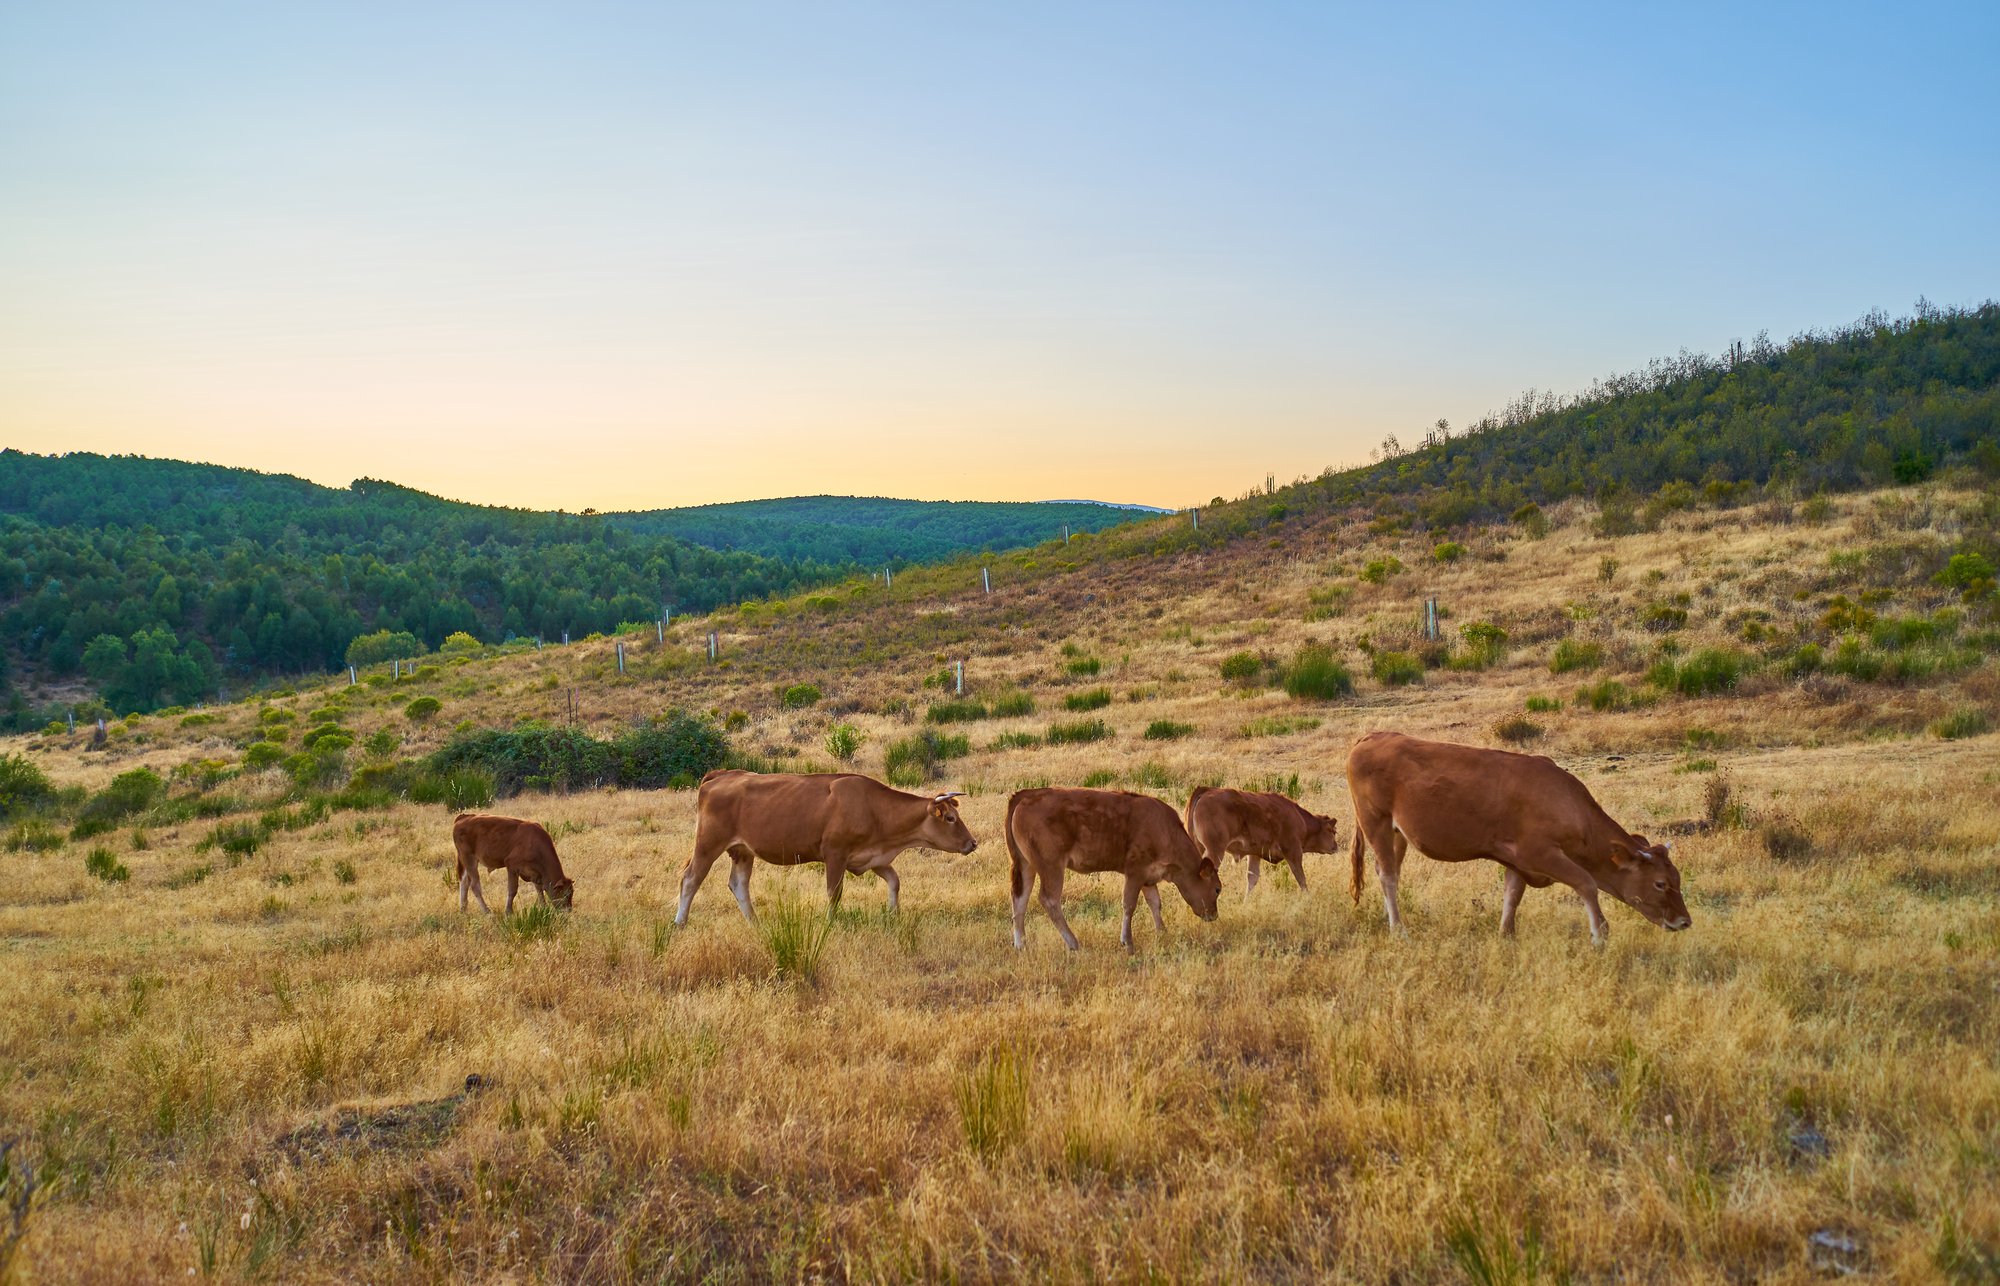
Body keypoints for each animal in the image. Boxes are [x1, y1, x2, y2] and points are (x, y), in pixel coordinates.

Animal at [675, 770, 977, 924]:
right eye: (950, 818)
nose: (972, 843)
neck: (873, 807)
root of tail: (720, 775)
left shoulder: (874, 858)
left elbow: (894, 881)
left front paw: (894, 914)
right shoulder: (835, 855)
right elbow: (834, 893)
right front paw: (830, 922)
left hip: (743, 851)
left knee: (739, 884)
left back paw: (754, 922)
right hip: (708, 845)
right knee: (690, 879)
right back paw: (680, 921)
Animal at [1005, 787, 1221, 951]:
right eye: (1217, 889)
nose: (1214, 915)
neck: (1165, 829)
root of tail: (1027, 794)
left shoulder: (1148, 876)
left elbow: (1155, 903)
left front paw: (1162, 931)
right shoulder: (1135, 871)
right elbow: (1129, 904)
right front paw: (1128, 942)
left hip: (1025, 864)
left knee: (1020, 898)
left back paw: (1020, 944)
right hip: (1051, 865)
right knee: (1049, 899)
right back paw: (1073, 942)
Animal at [1185, 785, 1341, 894]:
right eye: (1333, 831)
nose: (1336, 847)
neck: (1300, 819)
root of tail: (1205, 791)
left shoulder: (1254, 855)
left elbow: (1252, 879)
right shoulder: (1293, 851)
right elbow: (1301, 877)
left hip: (1199, 848)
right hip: (1215, 851)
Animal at [1345, 731, 1691, 944]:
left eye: (1677, 878)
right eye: (1660, 883)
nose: (1684, 921)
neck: (1564, 802)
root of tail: (1372, 737)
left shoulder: (1517, 863)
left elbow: (1512, 896)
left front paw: (1506, 936)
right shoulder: (1538, 853)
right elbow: (1586, 883)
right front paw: (1599, 936)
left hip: (1397, 833)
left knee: (1388, 871)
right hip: (1375, 821)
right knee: (1388, 875)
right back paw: (1399, 929)